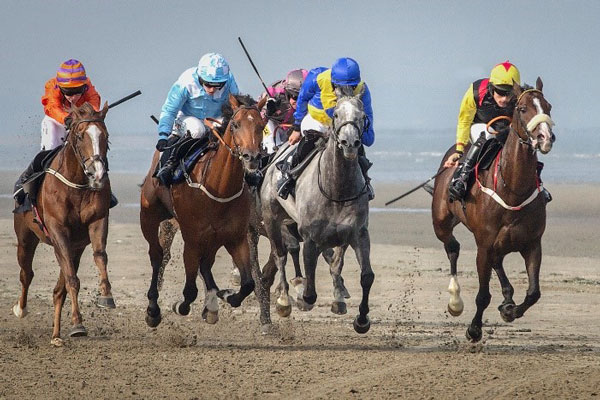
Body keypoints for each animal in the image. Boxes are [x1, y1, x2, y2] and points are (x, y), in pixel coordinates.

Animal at [12, 101, 115, 346]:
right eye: (79, 136)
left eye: (106, 136)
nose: (97, 175)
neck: (77, 185)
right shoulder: (58, 230)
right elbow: (72, 280)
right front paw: (77, 321)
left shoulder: (97, 221)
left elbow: (100, 256)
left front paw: (106, 296)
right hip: (26, 238)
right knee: (27, 273)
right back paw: (21, 309)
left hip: (74, 248)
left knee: (59, 289)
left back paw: (56, 335)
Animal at [141, 94, 268, 328]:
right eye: (235, 125)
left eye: (261, 125)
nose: (251, 157)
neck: (219, 187)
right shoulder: (192, 239)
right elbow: (190, 291)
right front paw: (179, 306)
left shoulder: (235, 238)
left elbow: (248, 283)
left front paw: (226, 295)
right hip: (150, 217)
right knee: (158, 255)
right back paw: (153, 309)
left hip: (214, 238)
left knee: (206, 264)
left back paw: (213, 303)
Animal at [260, 87, 372, 334]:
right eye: (336, 114)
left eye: (362, 116)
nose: (350, 143)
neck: (337, 190)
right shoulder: (310, 237)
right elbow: (310, 287)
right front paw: (302, 296)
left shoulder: (357, 234)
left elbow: (364, 275)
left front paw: (360, 318)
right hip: (271, 217)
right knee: (280, 255)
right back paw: (284, 300)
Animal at [434, 79, 556, 344]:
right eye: (522, 108)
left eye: (548, 106)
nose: (545, 137)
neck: (513, 189)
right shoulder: (484, 245)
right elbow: (482, 295)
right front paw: (474, 329)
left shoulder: (532, 243)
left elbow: (534, 293)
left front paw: (510, 310)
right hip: (441, 223)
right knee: (452, 248)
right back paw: (455, 300)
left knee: (498, 262)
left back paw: (508, 298)